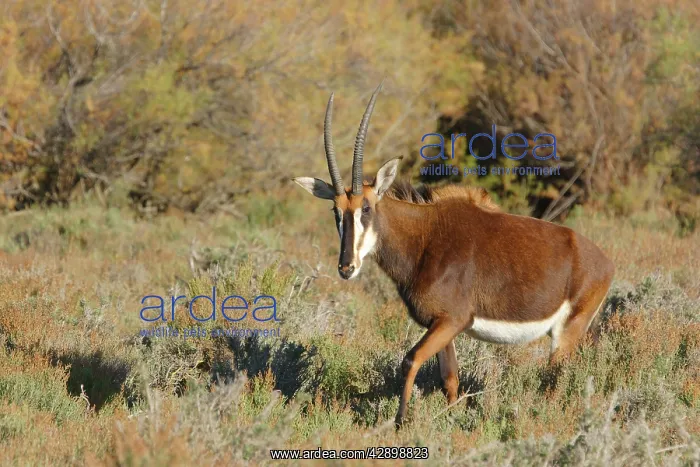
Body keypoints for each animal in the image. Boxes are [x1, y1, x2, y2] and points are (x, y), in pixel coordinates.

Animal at [293, 83, 615, 427]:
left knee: (555, 381)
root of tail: (605, 262)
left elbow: (410, 360)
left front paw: (400, 421)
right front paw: (452, 421)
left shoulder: (453, 320)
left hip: (568, 330)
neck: (424, 238)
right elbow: (449, 378)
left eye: (366, 208)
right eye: (335, 211)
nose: (346, 267)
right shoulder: (440, 323)